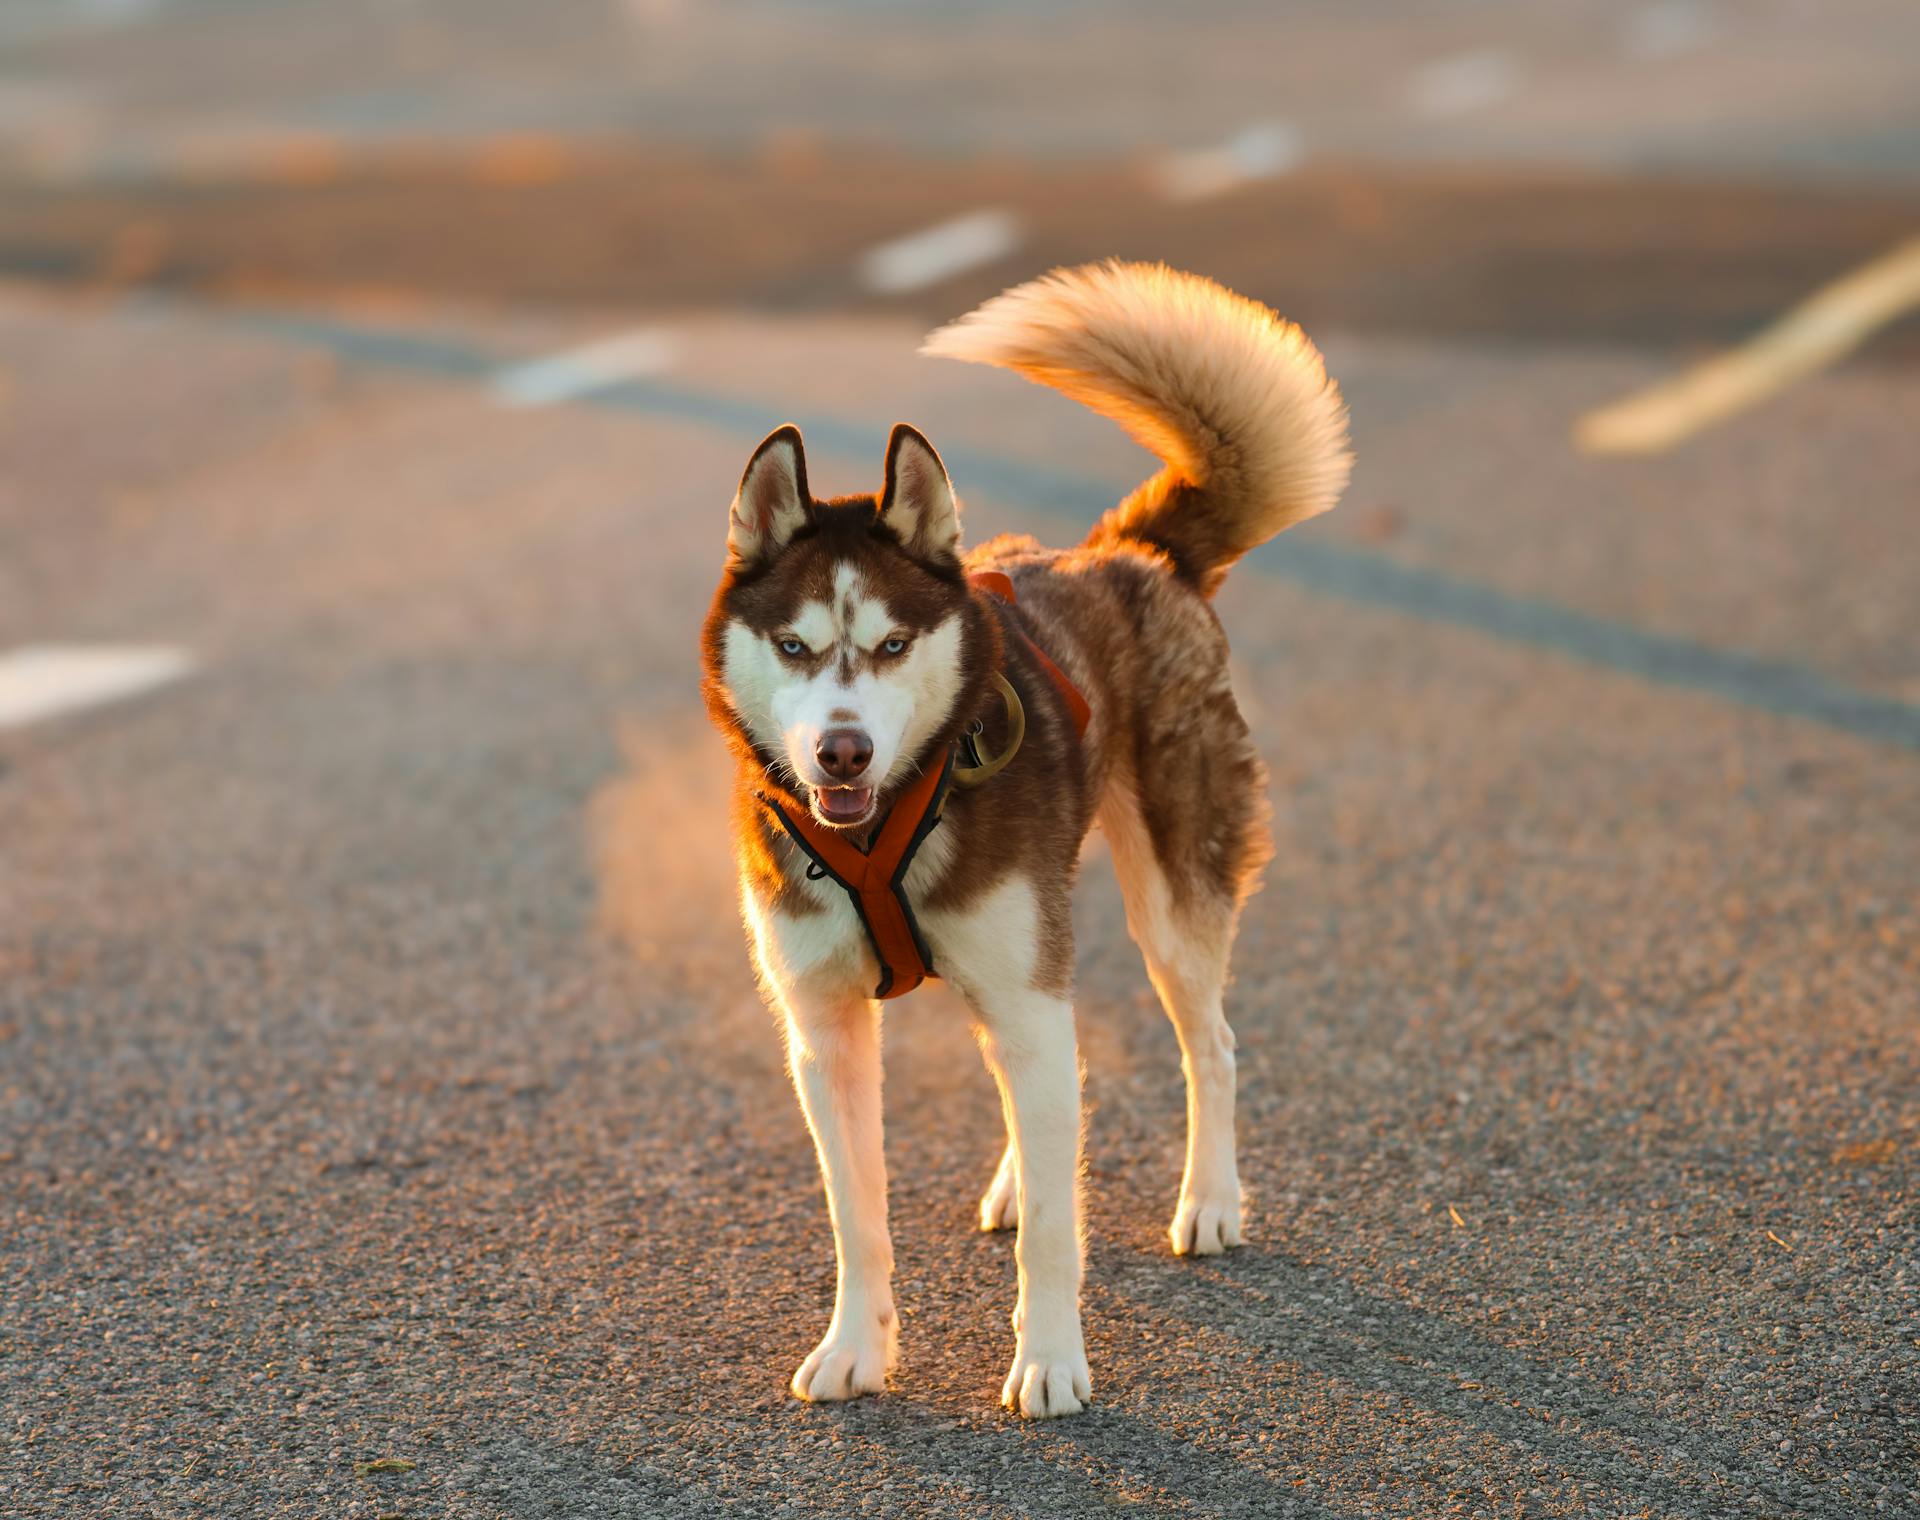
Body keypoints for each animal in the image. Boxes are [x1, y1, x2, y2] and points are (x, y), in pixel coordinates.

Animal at [698, 259, 1344, 1412]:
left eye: (893, 644)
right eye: (796, 646)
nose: (842, 754)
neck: (898, 813)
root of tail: (1130, 554)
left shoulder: (1032, 995)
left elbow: (1056, 1227)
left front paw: (1048, 1360)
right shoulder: (823, 1030)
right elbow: (857, 1214)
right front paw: (858, 1345)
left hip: (1167, 905)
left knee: (1210, 1045)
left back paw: (1210, 1199)